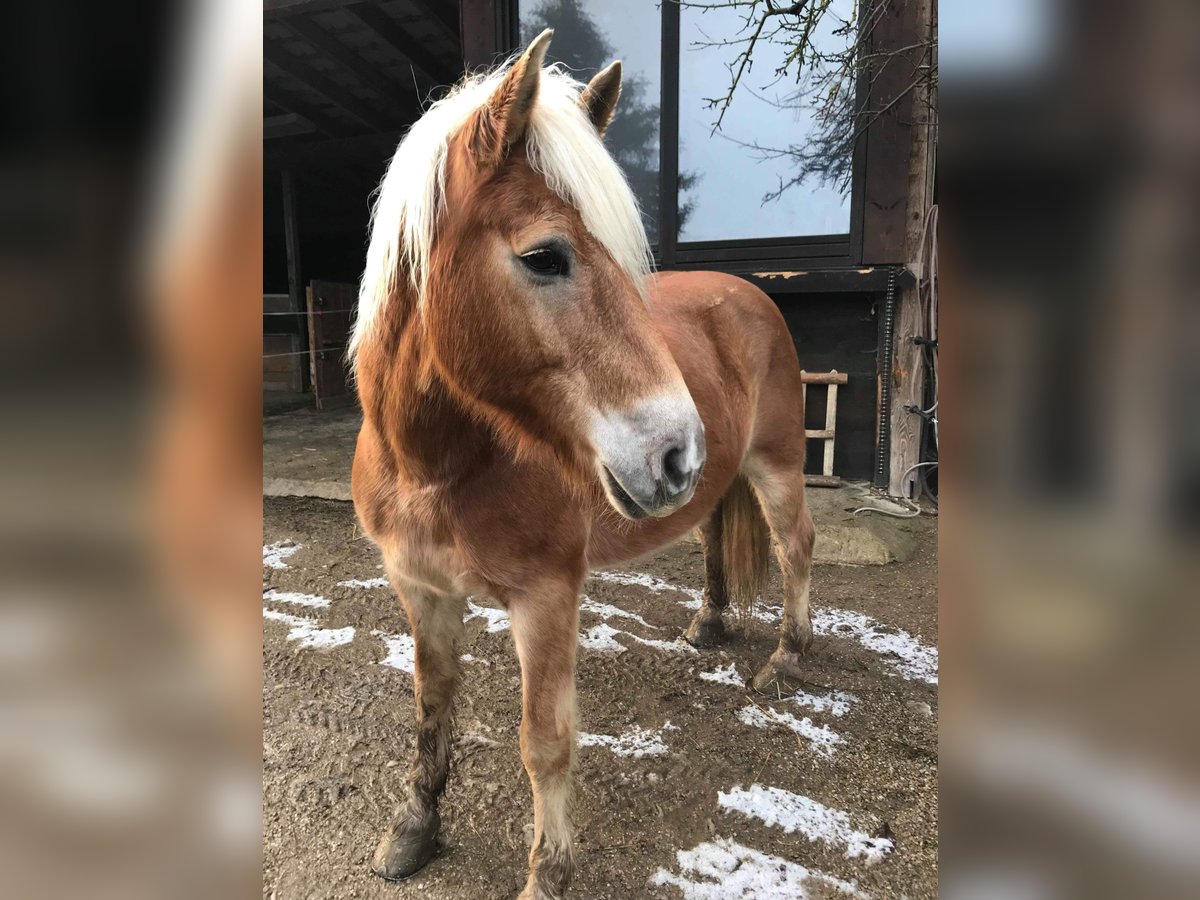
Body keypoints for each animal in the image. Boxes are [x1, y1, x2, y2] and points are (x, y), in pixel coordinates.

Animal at [348, 30, 816, 900]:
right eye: (545, 255)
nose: (676, 450)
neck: (437, 468)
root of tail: (751, 294)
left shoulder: (546, 598)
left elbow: (545, 743)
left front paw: (548, 872)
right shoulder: (421, 591)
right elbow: (431, 708)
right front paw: (413, 830)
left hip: (776, 466)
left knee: (797, 545)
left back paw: (786, 657)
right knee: (713, 535)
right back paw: (710, 624)